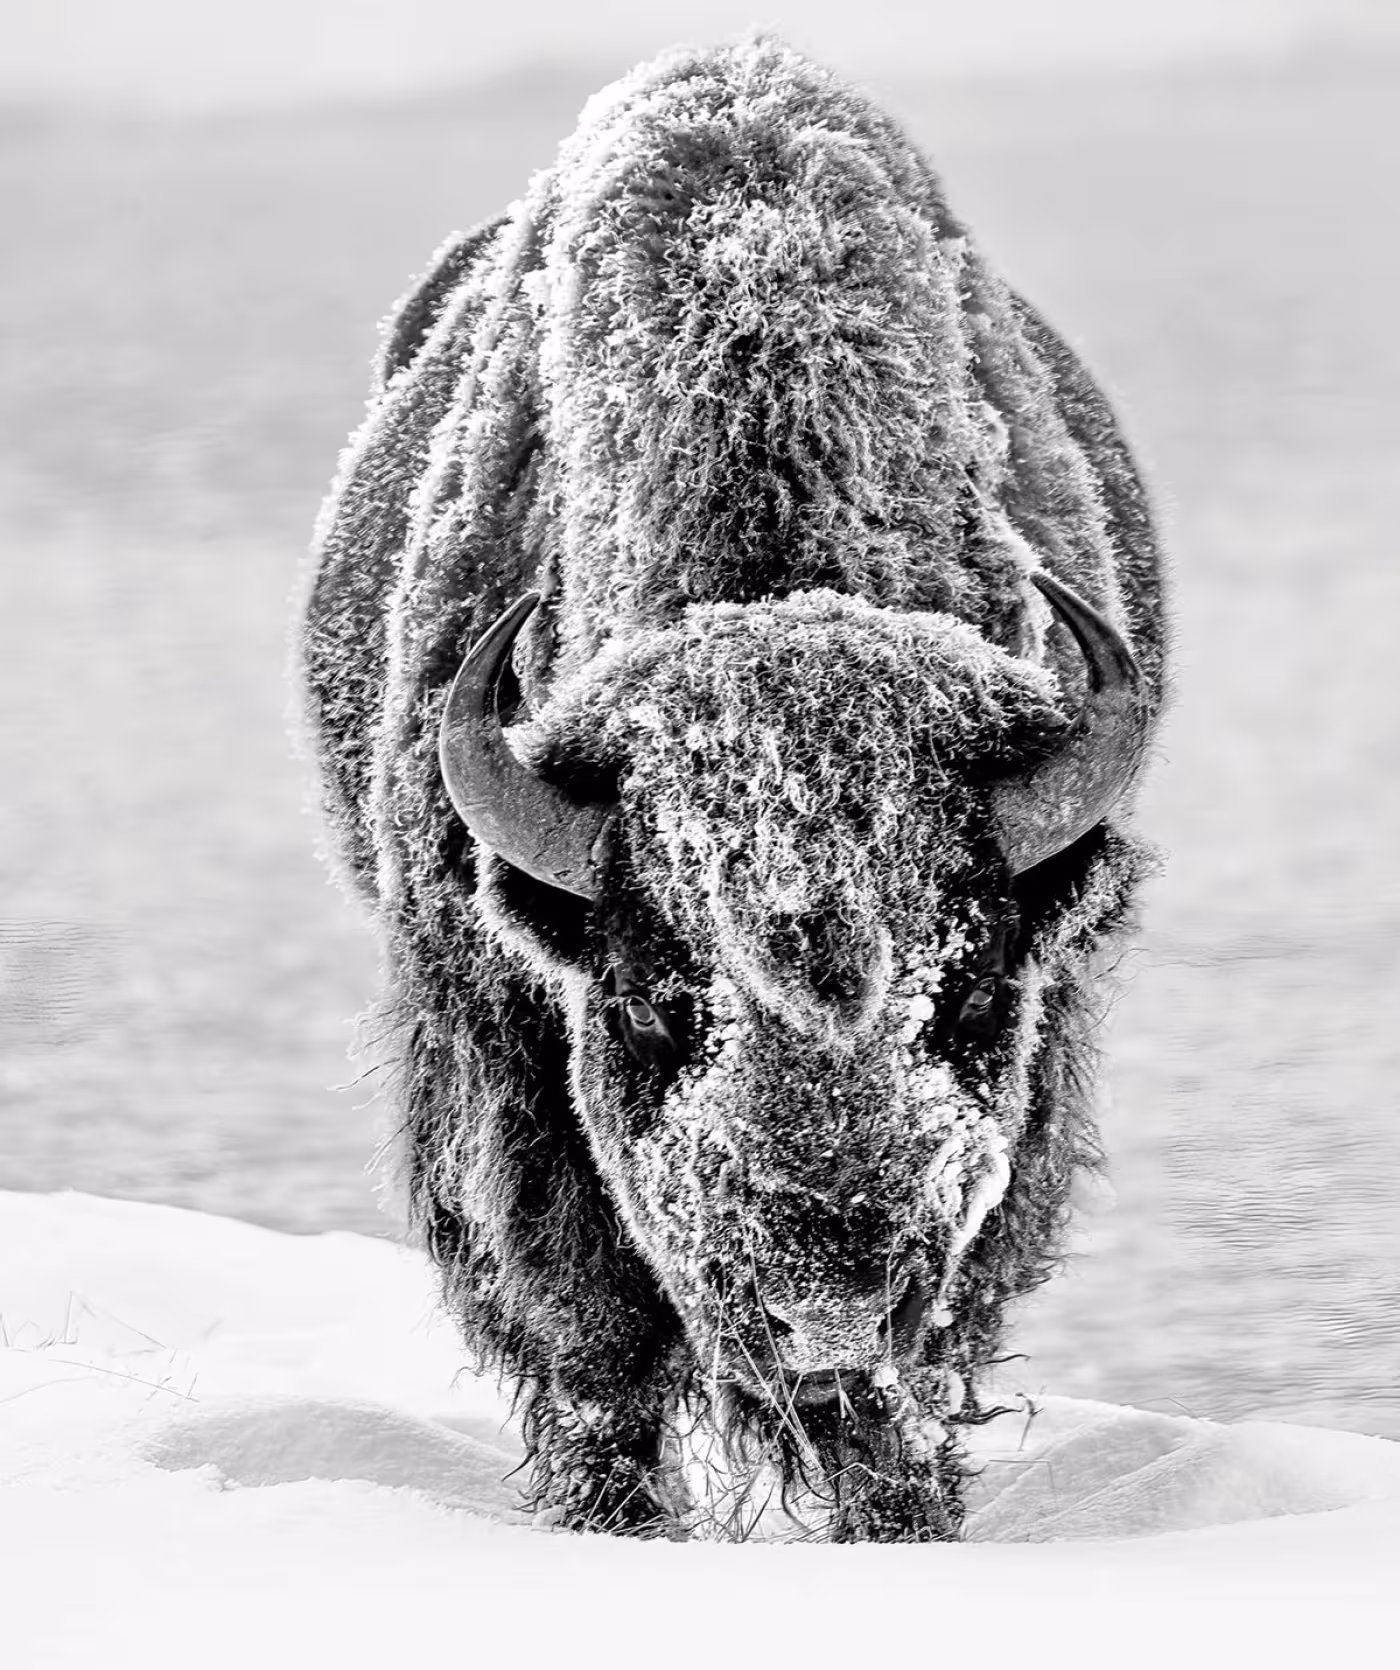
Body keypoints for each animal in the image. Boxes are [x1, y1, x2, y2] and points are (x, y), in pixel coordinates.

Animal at [300, 38, 1166, 1541]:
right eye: (658, 1003)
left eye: (970, 994)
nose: (825, 1318)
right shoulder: (506, 1047)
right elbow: (591, 1329)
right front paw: (618, 1521)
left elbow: (935, 1358)